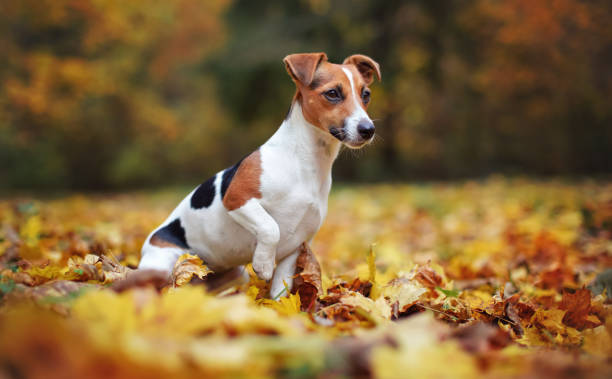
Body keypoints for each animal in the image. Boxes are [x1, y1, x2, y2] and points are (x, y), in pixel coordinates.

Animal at [137, 52, 380, 296]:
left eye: (366, 95)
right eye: (332, 93)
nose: (368, 130)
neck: (303, 162)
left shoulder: (295, 247)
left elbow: (280, 290)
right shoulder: (237, 199)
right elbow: (270, 227)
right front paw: (263, 263)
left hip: (234, 275)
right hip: (163, 264)